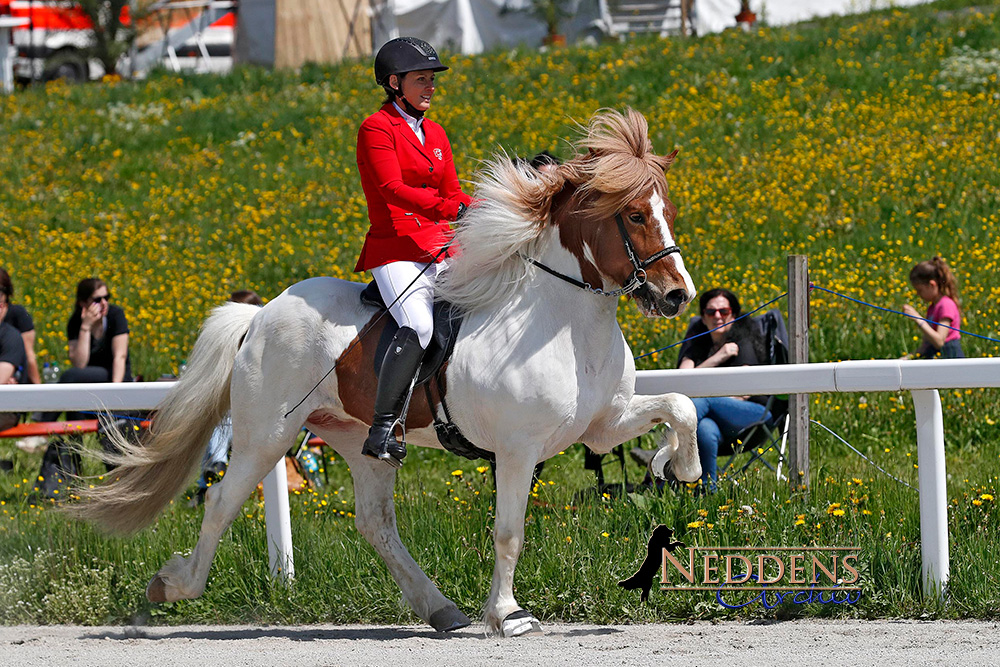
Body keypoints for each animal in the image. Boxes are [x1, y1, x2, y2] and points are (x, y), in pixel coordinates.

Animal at [76, 107, 704, 640]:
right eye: (633, 214)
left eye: (668, 211)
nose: (678, 296)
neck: (564, 320)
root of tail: (259, 315)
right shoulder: (518, 449)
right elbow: (509, 532)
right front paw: (508, 615)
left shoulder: (601, 427)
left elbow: (681, 406)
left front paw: (678, 465)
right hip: (266, 436)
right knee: (221, 504)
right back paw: (172, 585)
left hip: (360, 441)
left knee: (374, 524)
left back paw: (441, 609)